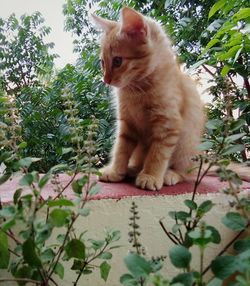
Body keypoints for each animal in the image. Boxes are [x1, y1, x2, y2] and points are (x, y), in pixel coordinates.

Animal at [92, 6, 205, 191]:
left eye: (117, 61)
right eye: (102, 62)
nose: (106, 80)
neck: (137, 89)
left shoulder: (168, 124)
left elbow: (157, 154)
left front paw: (151, 176)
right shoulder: (127, 123)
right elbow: (121, 149)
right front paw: (116, 171)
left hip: (186, 144)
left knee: (186, 173)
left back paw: (170, 174)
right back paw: (132, 169)